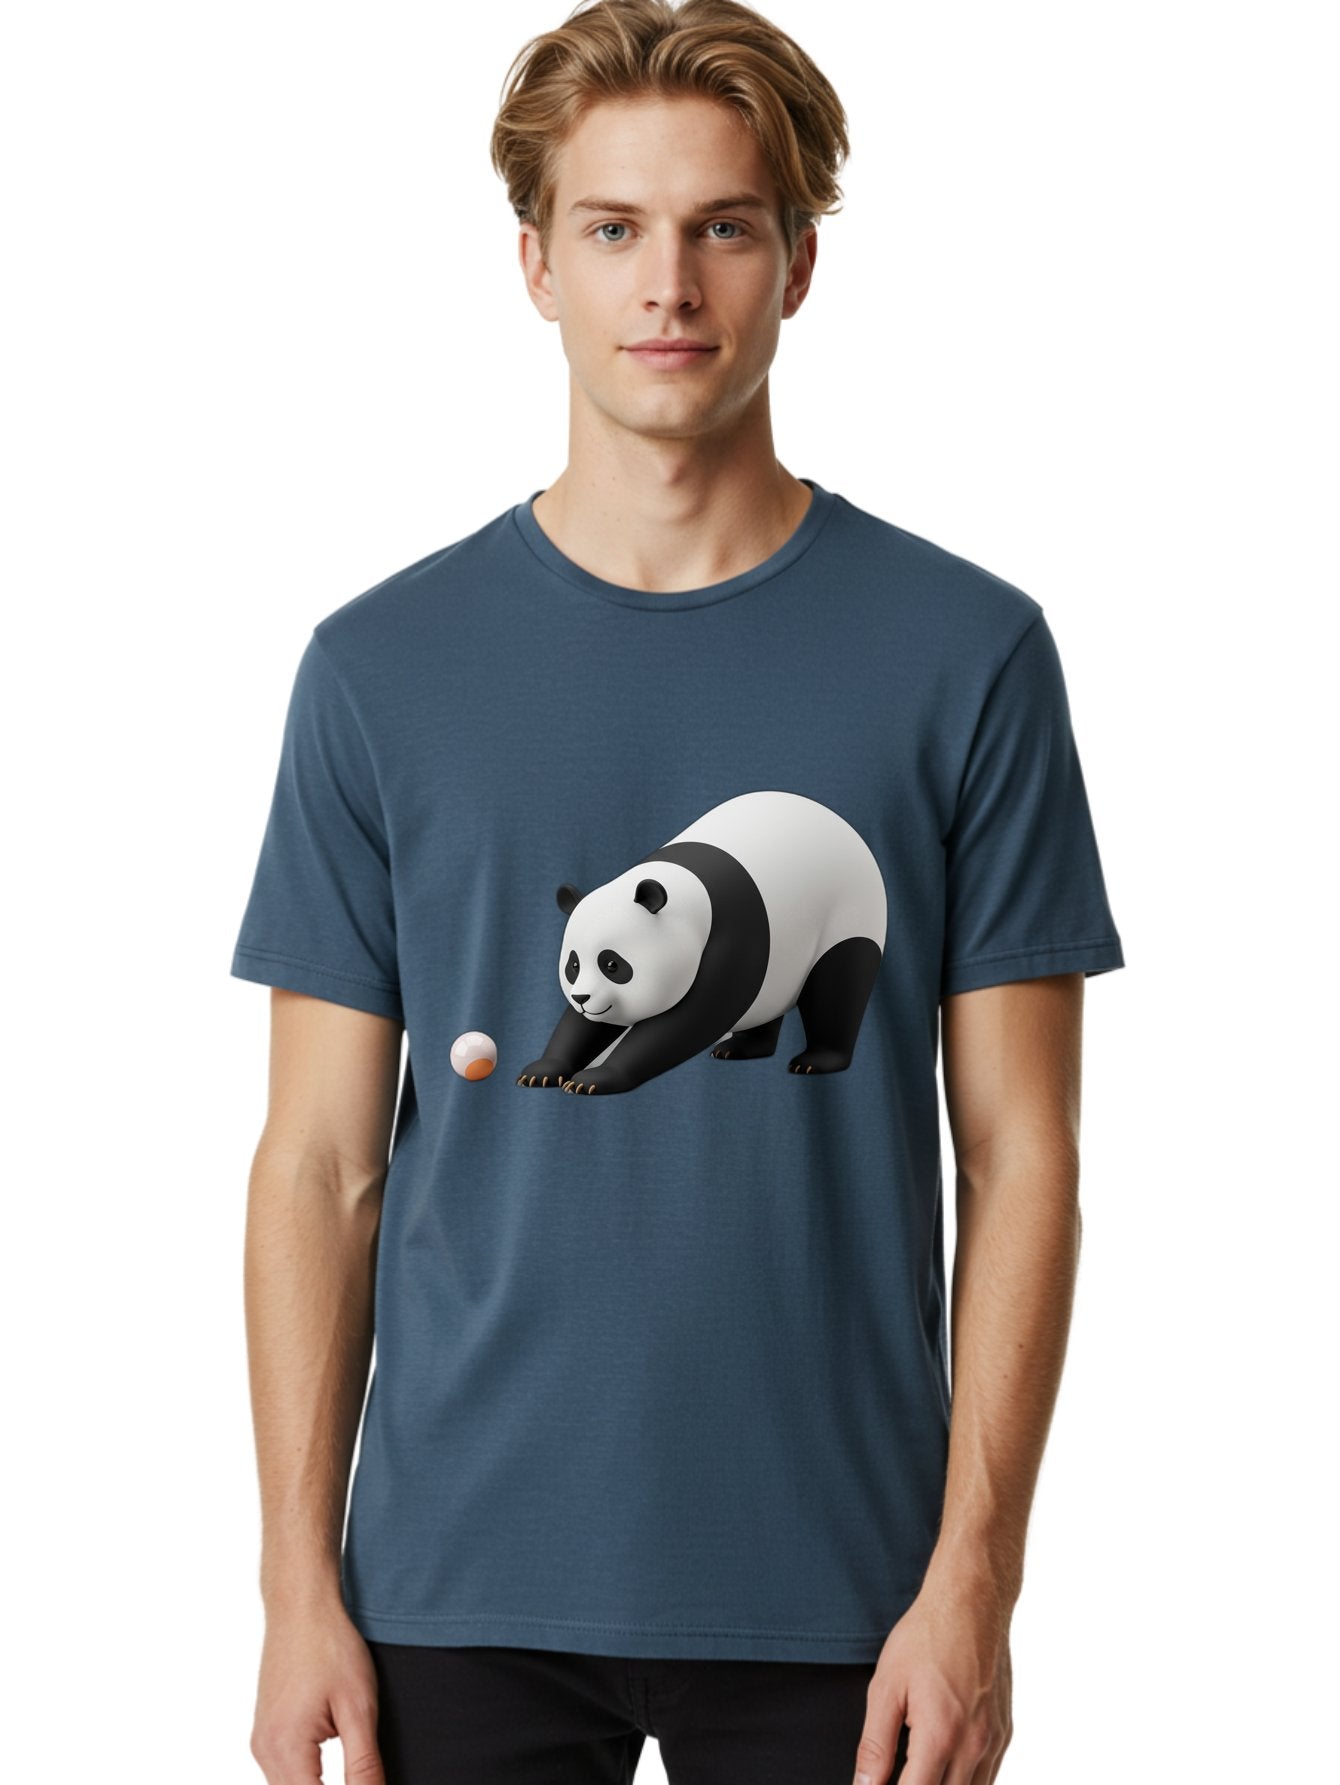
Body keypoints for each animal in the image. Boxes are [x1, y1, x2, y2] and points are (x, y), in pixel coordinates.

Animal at [516, 789, 887, 1096]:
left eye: (613, 964)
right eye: (573, 965)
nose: (582, 998)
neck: (686, 893)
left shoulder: (734, 935)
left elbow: (691, 1020)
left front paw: (598, 1078)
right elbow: (583, 1026)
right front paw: (544, 1070)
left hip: (852, 913)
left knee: (839, 982)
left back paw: (816, 1060)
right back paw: (742, 1048)